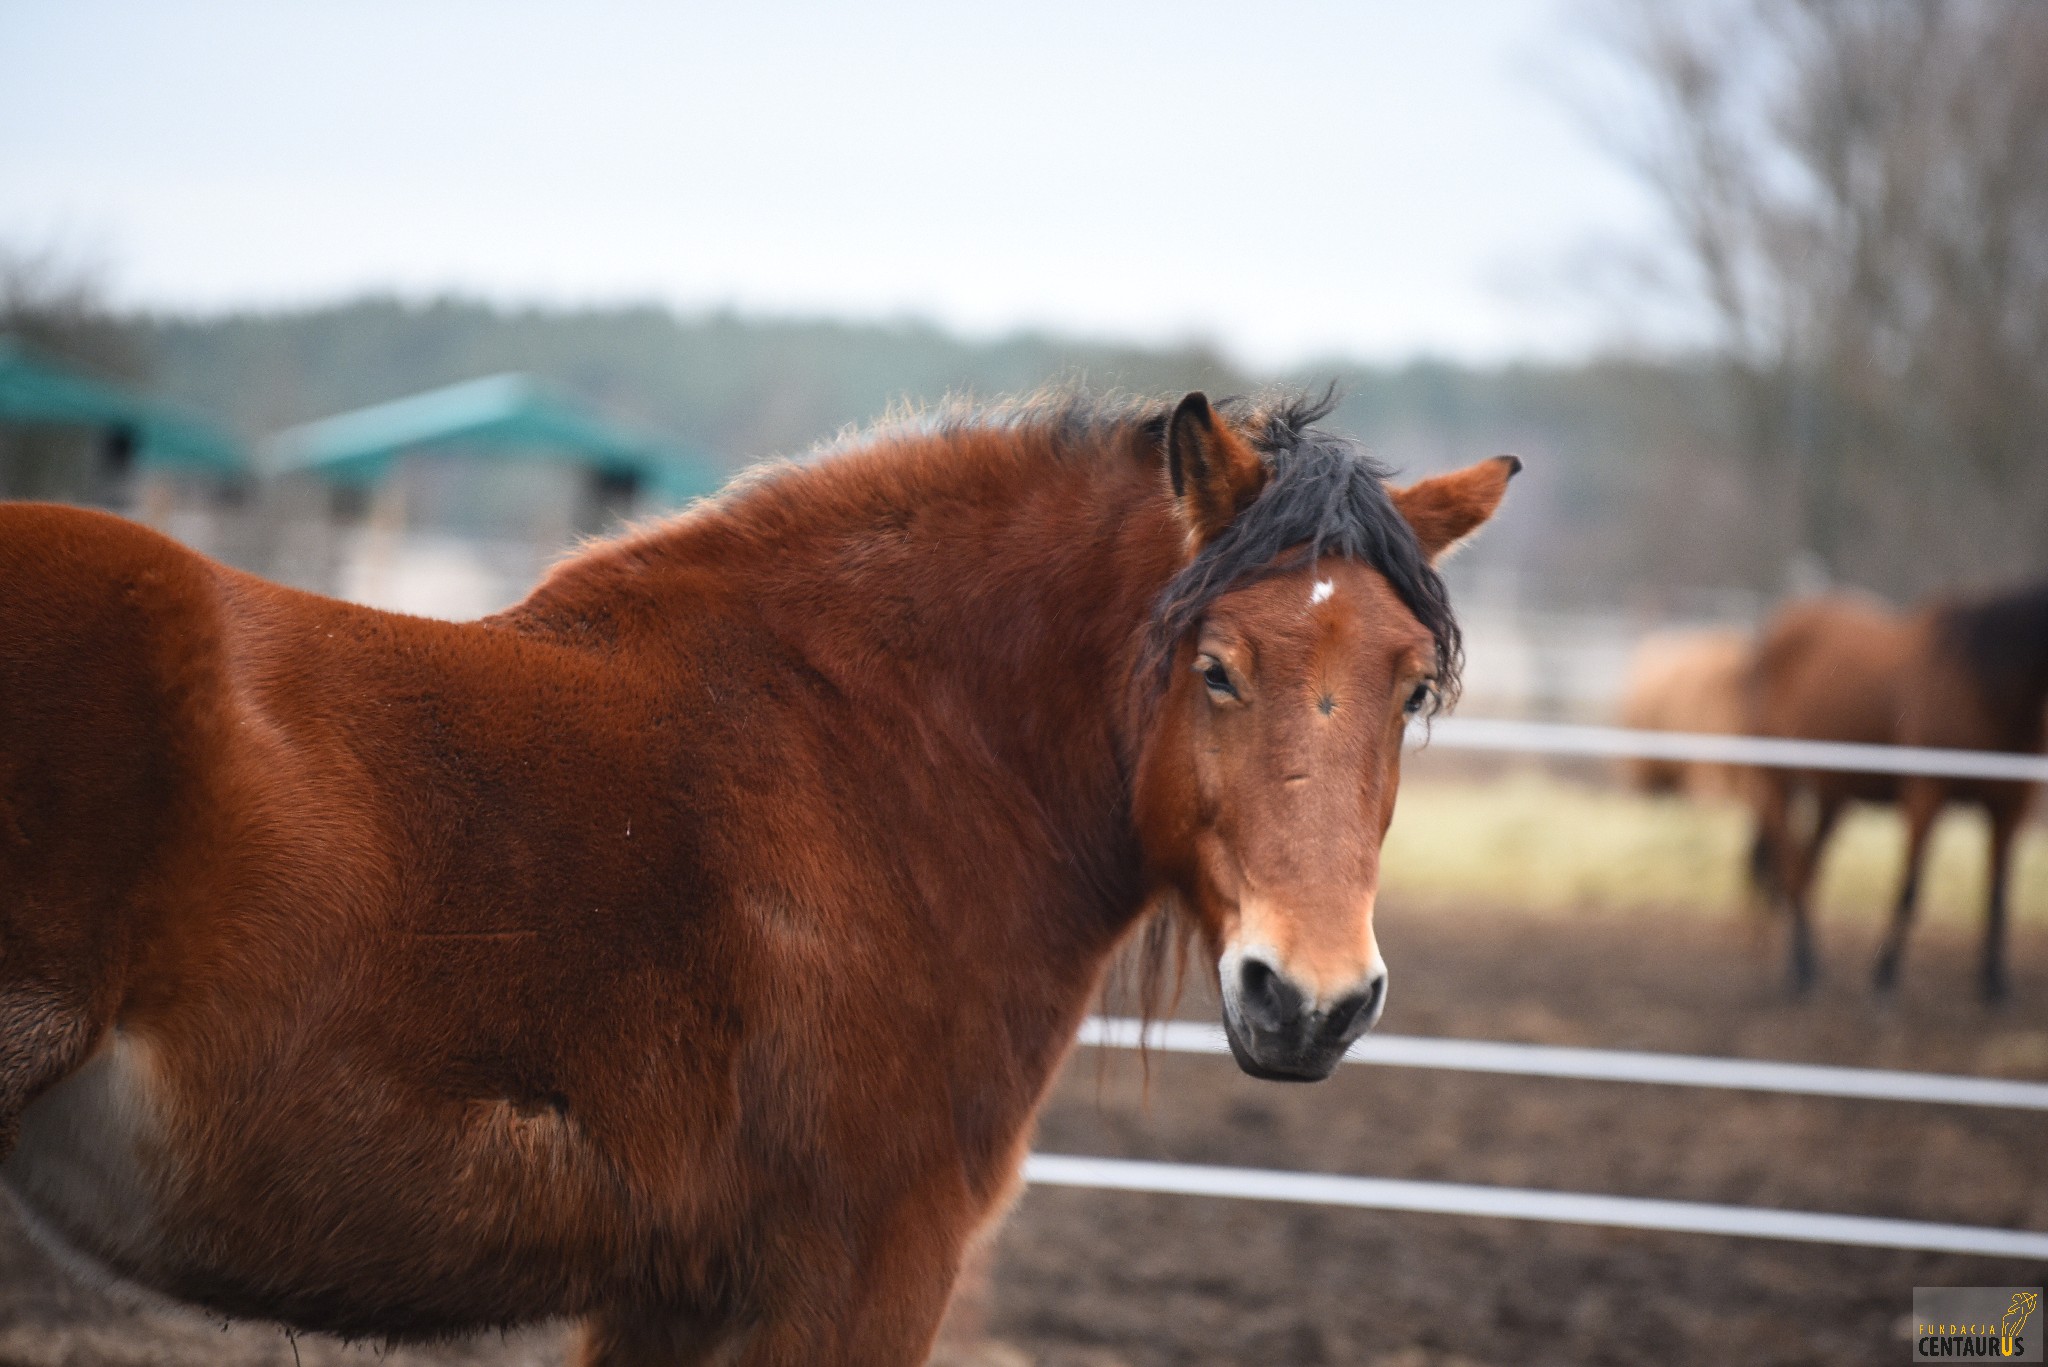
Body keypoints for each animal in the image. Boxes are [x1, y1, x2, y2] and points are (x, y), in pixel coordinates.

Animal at [4, 393, 1523, 1367]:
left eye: (1408, 689)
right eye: (1216, 667)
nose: (1308, 1000)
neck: (885, 757)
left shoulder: (671, 1295)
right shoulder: (858, 1275)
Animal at [1744, 582, 2048, 1000]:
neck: (1982, 685)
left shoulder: (2012, 805)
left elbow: (1999, 897)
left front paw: (1995, 983)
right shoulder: (1926, 794)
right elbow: (1910, 888)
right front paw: (1884, 975)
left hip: (1832, 794)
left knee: (1805, 868)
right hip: (1776, 779)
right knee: (1791, 866)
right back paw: (1804, 966)